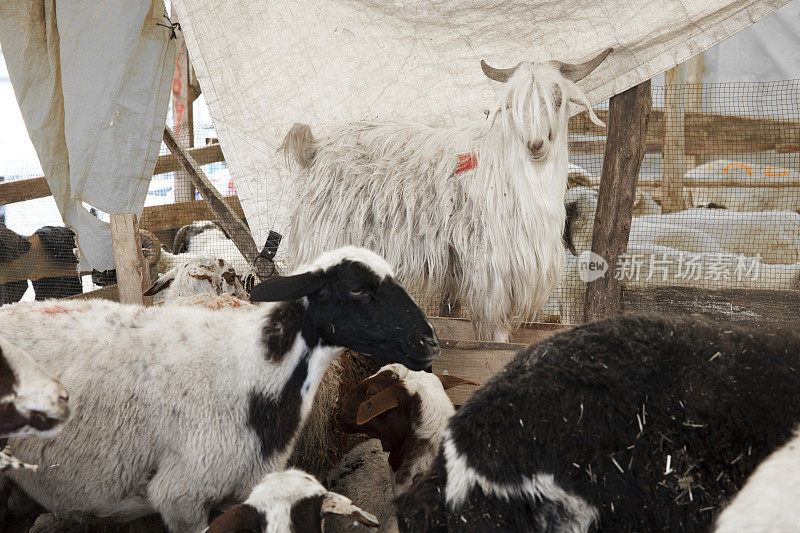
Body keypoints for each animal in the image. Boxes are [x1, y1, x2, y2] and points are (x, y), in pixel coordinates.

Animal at [282, 48, 612, 340]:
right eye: (511, 106)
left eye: (558, 100)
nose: (535, 144)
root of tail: (314, 148)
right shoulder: (491, 271)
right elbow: (495, 332)